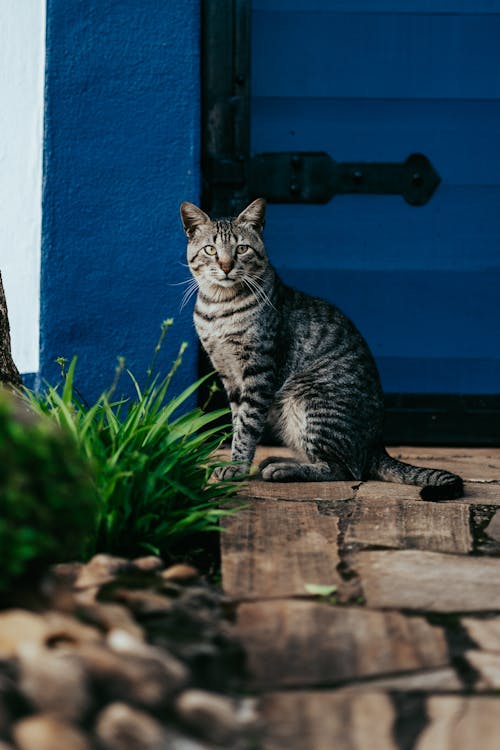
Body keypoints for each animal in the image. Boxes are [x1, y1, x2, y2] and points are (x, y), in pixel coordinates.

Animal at [181, 198, 464, 500]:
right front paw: (237, 462)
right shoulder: (229, 376)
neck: (218, 307)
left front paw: (237, 467)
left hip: (309, 399)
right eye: (211, 249)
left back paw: (283, 469)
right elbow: (237, 421)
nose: (225, 266)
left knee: (344, 469)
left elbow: (247, 426)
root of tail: (377, 445)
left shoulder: (258, 372)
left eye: (242, 249)